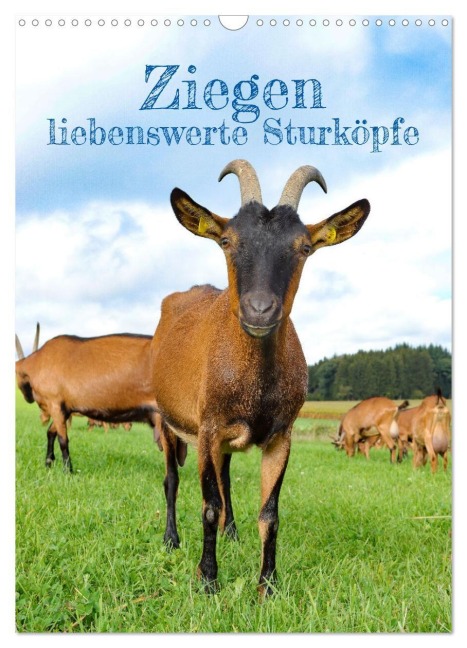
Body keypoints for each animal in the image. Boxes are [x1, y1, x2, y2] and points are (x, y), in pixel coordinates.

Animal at [15, 330, 187, 471]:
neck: (38, 362)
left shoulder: (55, 403)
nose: (28, 398)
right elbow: (51, 433)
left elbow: (63, 440)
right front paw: (49, 463)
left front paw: (68, 471)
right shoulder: (64, 409)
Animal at [151, 159, 370, 595]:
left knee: (226, 480)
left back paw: (232, 533)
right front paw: (207, 580)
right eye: (226, 241)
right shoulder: (207, 428)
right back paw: (171, 540)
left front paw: (267, 586)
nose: (259, 310)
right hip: (167, 420)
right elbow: (208, 505)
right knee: (172, 480)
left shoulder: (281, 435)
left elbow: (269, 513)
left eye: (304, 248)